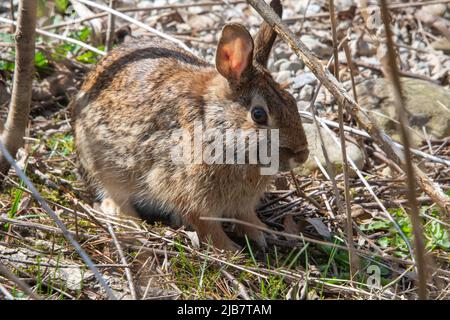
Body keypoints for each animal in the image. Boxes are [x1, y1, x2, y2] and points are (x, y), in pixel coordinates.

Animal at [71, 0, 310, 251]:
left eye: (292, 101)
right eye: (259, 115)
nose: (302, 155)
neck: (215, 124)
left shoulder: (242, 204)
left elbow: (246, 217)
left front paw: (261, 234)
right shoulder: (188, 193)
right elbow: (206, 225)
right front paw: (230, 249)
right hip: (102, 167)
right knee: (112, 198)